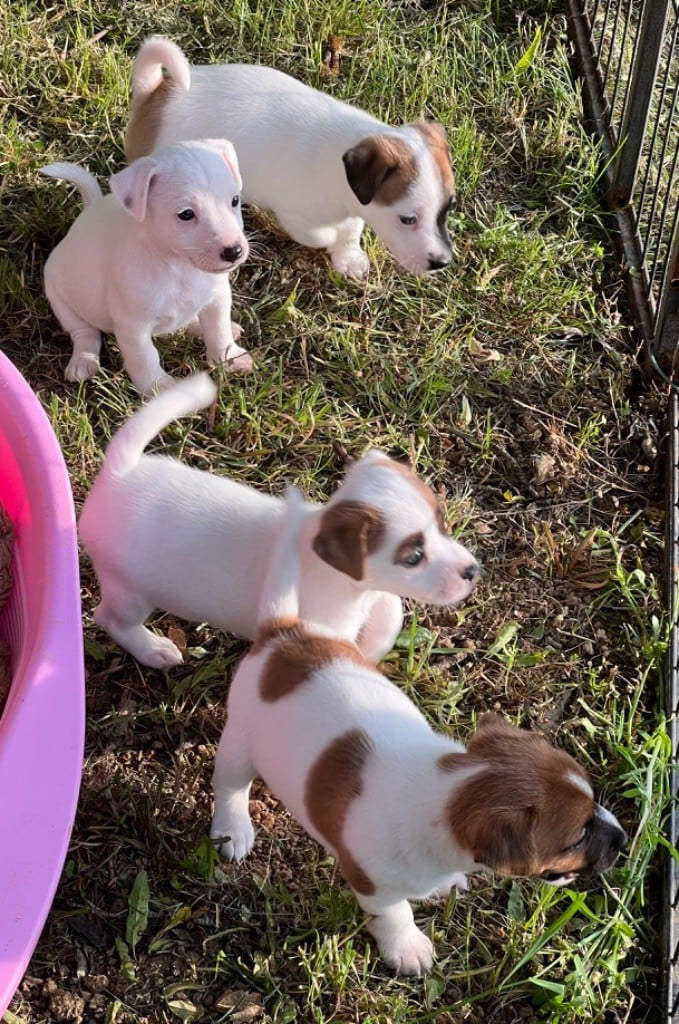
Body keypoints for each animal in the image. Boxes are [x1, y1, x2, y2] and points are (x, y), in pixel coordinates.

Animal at [43, 142, 253, 397]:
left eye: (235, 200)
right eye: (186, 214)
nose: (234, 252)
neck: (178, 266)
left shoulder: (218, 299)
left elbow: (218, 330)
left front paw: (230, 357)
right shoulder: (134, 326)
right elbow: (145, 357)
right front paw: (158, 389)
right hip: (61, 301)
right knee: (85, 333)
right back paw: (83, 360)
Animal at [79, 372, 481, 667]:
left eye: (442, 524)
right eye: (413, 558)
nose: (473, 571)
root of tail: (119, 473)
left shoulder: (377, 596)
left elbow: (391, 609)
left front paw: (375, 646)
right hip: (130, 592)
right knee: (110, 619)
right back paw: (151, 648)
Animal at [125, 37, 458, 280]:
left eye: (447, 209)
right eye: (408, 220)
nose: (441, 263)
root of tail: (154, 96)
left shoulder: (355, 208)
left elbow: (351, 229)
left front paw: (348, 257)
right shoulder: (296, 216)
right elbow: (322, 234)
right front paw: (334, 242)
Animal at [210, 487, 626, 974]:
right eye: (577, 836)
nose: (623, 839)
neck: (449, 790)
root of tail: (283, 634)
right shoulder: (373, 884)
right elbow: (395, 914)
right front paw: (407, 948)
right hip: (240, 744)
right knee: (231, 786)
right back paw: (234, 827)